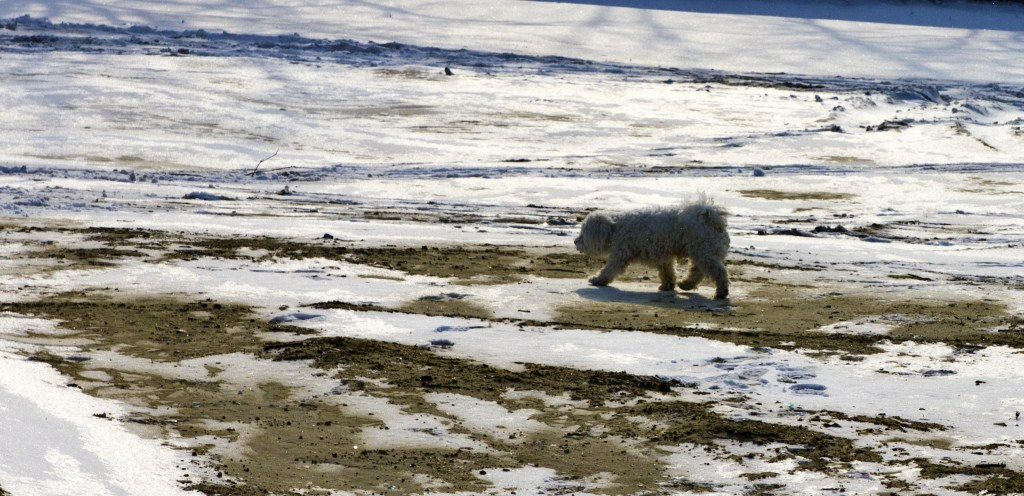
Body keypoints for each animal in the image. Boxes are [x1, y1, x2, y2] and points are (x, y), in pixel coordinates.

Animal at [573, 195, 733, 299]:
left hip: (703, 249)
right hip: (701, 250)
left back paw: (721, 291)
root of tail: (711, 218)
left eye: (583, 233)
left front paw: (597, 280)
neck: (615, 228)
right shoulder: (662, 254)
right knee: (697, 270)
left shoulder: (621, 253)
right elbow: (667, 271)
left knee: (717, 271)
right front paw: (668, 285)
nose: (575, 241)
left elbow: (609, 269)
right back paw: (686, 284)